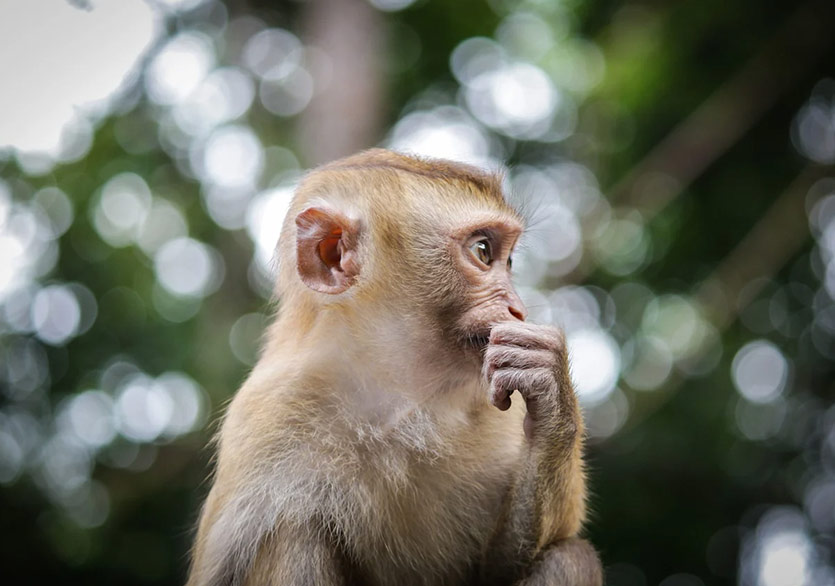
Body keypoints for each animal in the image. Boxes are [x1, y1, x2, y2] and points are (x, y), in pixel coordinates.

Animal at [186, 148, 604, 580]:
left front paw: (551, 397)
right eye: (483, 252)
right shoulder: (265, 419)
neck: (397, 395)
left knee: (571, 556)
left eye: (508, 261)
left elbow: (502, 564)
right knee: (291, 532)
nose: (518, 310)